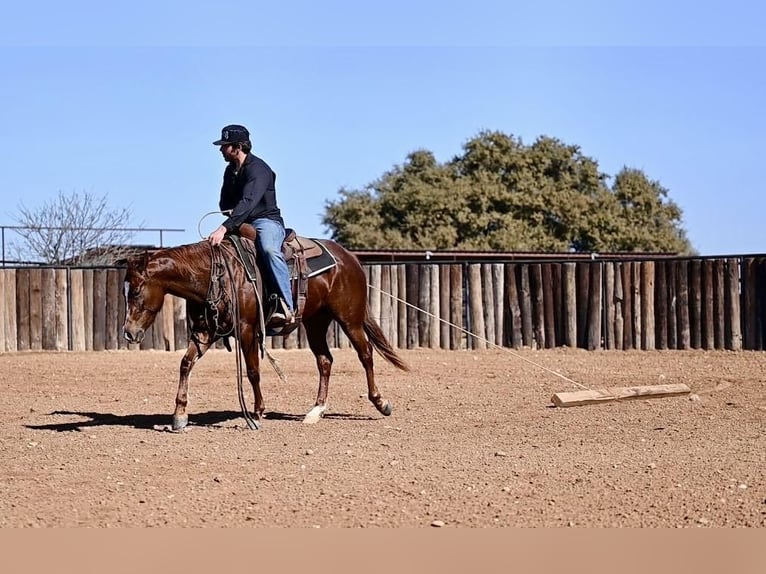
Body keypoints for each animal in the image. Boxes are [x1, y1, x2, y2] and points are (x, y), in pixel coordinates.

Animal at [121, 238, 408, 432]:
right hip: (316, 321)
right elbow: (185, 363)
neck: (215, 275)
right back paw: (316, 411)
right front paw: (179, 414)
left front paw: (257, 412)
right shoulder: (205, 331)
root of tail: (350, 258)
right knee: (325, 361)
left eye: (135, 290)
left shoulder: (248, 329)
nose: (129, 333)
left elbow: (252, 371)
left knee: (366, 354)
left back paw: (380, 402)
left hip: (350, 318)